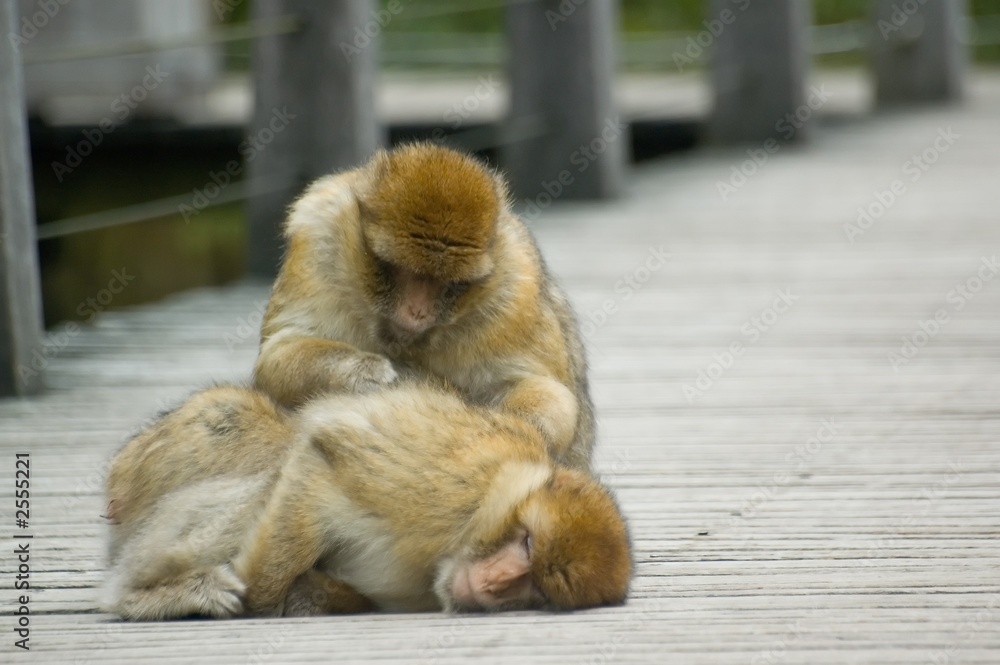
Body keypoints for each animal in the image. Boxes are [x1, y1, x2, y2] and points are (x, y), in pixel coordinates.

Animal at [102, 383, 632, 619]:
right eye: (526, 543)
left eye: (535, 587)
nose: (496, 581)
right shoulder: (444, 491)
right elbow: (319, 457)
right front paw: (265, 598)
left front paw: (312, 594)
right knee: (263, 442)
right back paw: (145, 594)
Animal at [253, 142, 594, 470]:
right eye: (403, 271)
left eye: (451, 284)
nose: (417, 311)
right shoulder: (316, 240)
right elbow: (277, 354)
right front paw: (363, 371)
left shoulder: (516, 294)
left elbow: (550, 392)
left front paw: (510, 425)